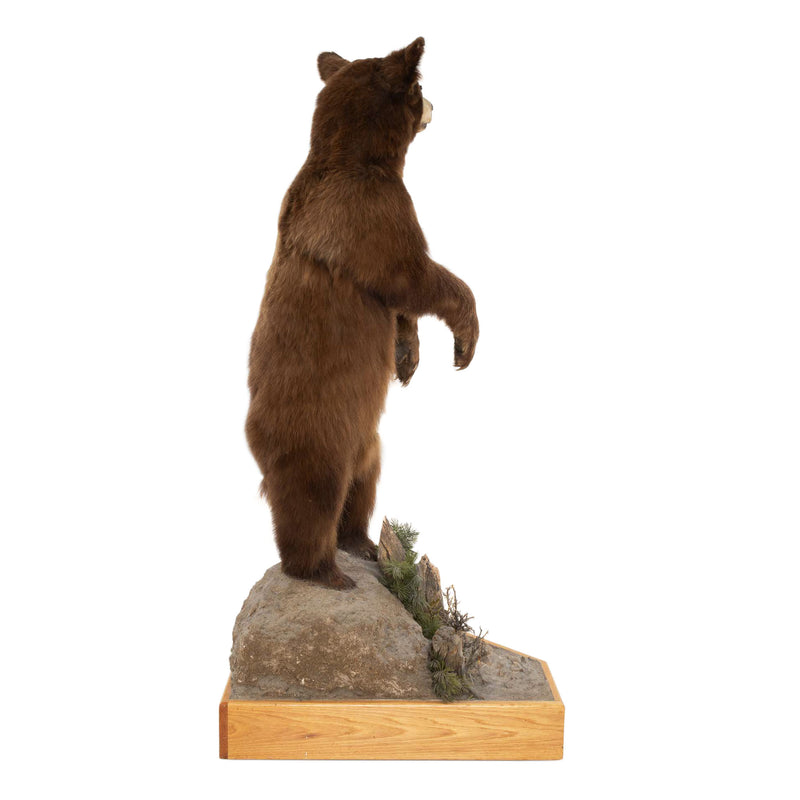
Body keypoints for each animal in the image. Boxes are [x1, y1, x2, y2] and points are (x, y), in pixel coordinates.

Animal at [245, 37, 479, 589]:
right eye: (418, 85)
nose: (436, 105)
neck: (354, 153)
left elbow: (400, 305)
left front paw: (408, 357)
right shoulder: (372, 210)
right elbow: (412, 274)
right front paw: (465, 343)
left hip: (367, 441)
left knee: (364, 484)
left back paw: (364, 544)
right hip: (315, 432)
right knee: (311, 500)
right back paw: (326, 572)